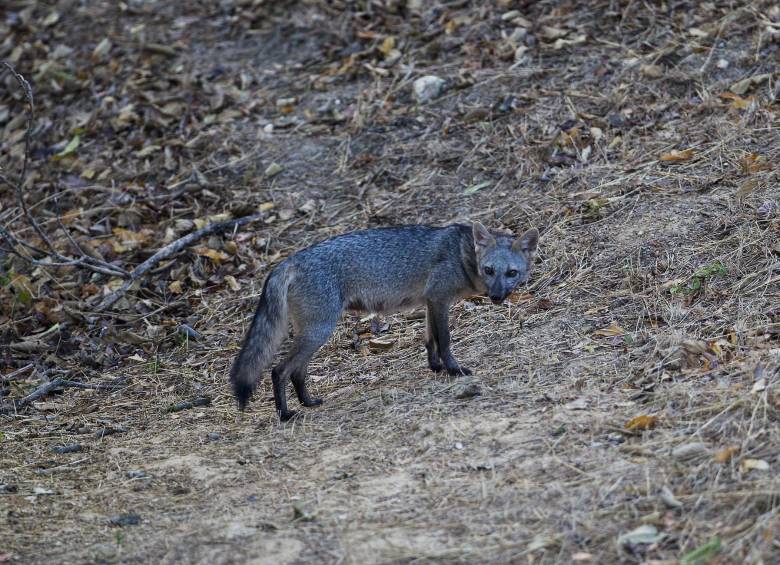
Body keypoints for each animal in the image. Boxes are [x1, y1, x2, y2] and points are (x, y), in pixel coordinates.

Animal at [229, 222, 539, 421]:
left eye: (511, 273)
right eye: (489, 270)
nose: (496, 297)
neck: (462, 253)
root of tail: (288, 261)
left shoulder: (430, 302)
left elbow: (430, 340)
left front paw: (435, 367)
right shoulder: (439, 300)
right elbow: (445, 340)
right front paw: (454, 370)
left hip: (313, 334)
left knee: (297, 372)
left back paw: (308, 402)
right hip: (318, 332)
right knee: (279, 371)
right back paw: (285, 414)